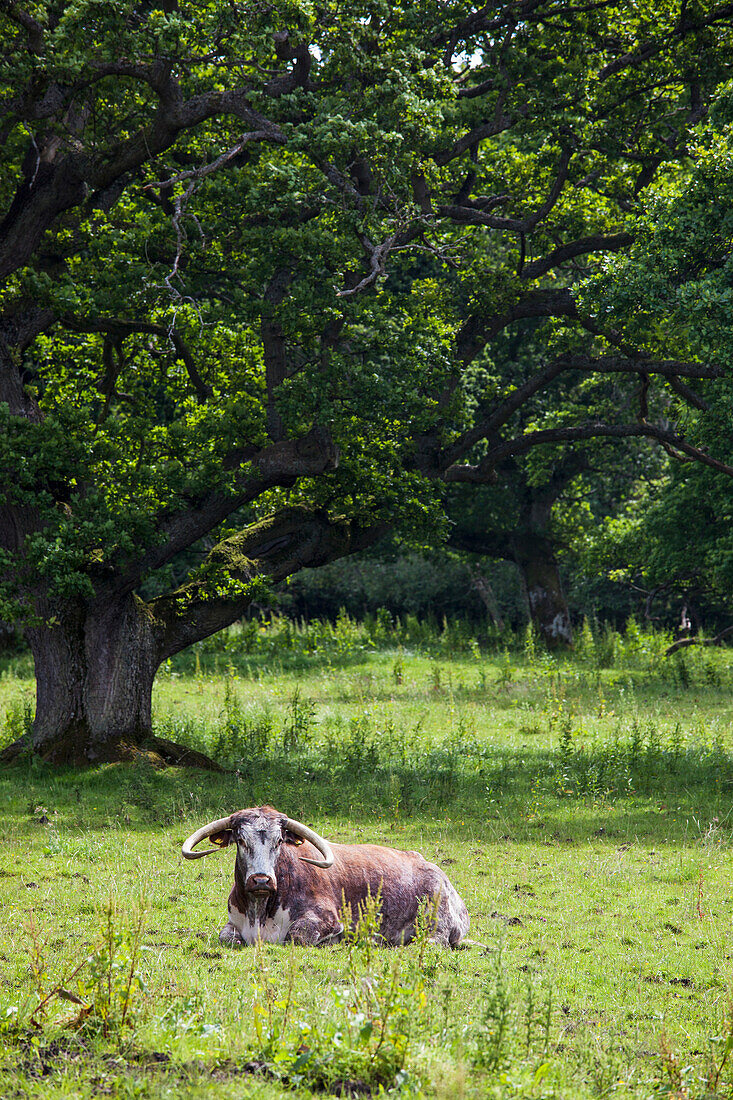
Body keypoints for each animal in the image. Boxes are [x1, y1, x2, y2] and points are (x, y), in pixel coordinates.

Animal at [180, 805, 471, 950]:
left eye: (278, 841)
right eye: (241, 840)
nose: (261, 881)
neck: (261, 912)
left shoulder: (327, 920)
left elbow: (297, 936)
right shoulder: (232, 924)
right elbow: (226, 937)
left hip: (435, 920)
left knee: (434, 941)